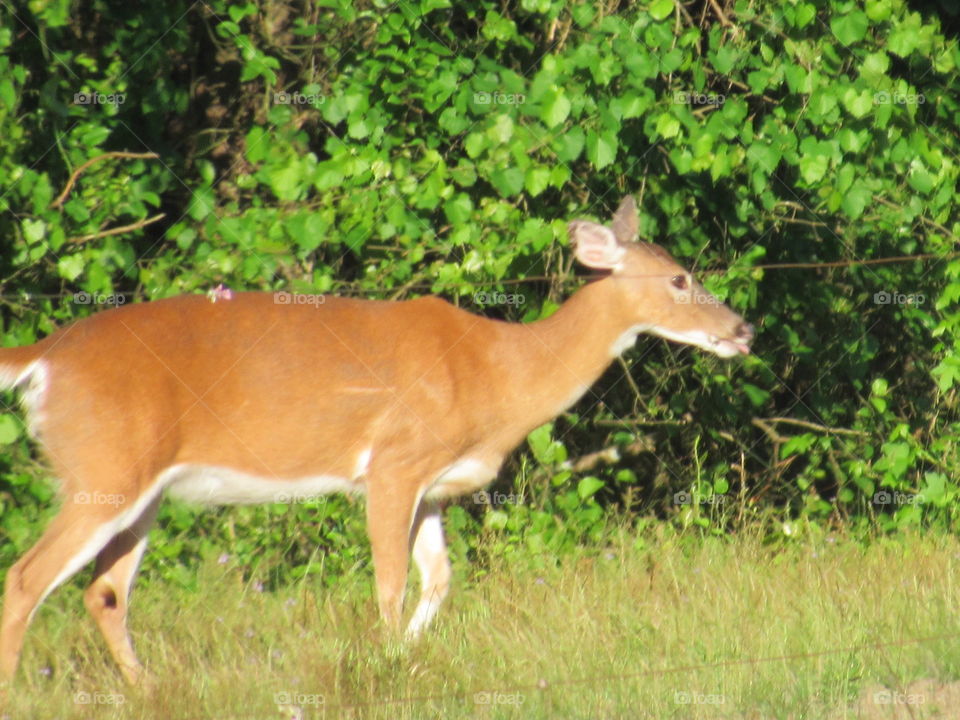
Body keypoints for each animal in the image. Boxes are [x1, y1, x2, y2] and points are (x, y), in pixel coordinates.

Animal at [0, 196, 752, 685]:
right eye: (680, 277)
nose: (742, 330)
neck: (498, 372)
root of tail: (45, 358)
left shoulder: (436, 485)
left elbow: (441, 579)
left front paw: (406, 658)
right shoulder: (394, 461)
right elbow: (390, 583)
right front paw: (387, 668)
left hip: (140, 485)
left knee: (104, 592)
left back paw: (149, 690)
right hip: (104, 464)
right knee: (27, 576)